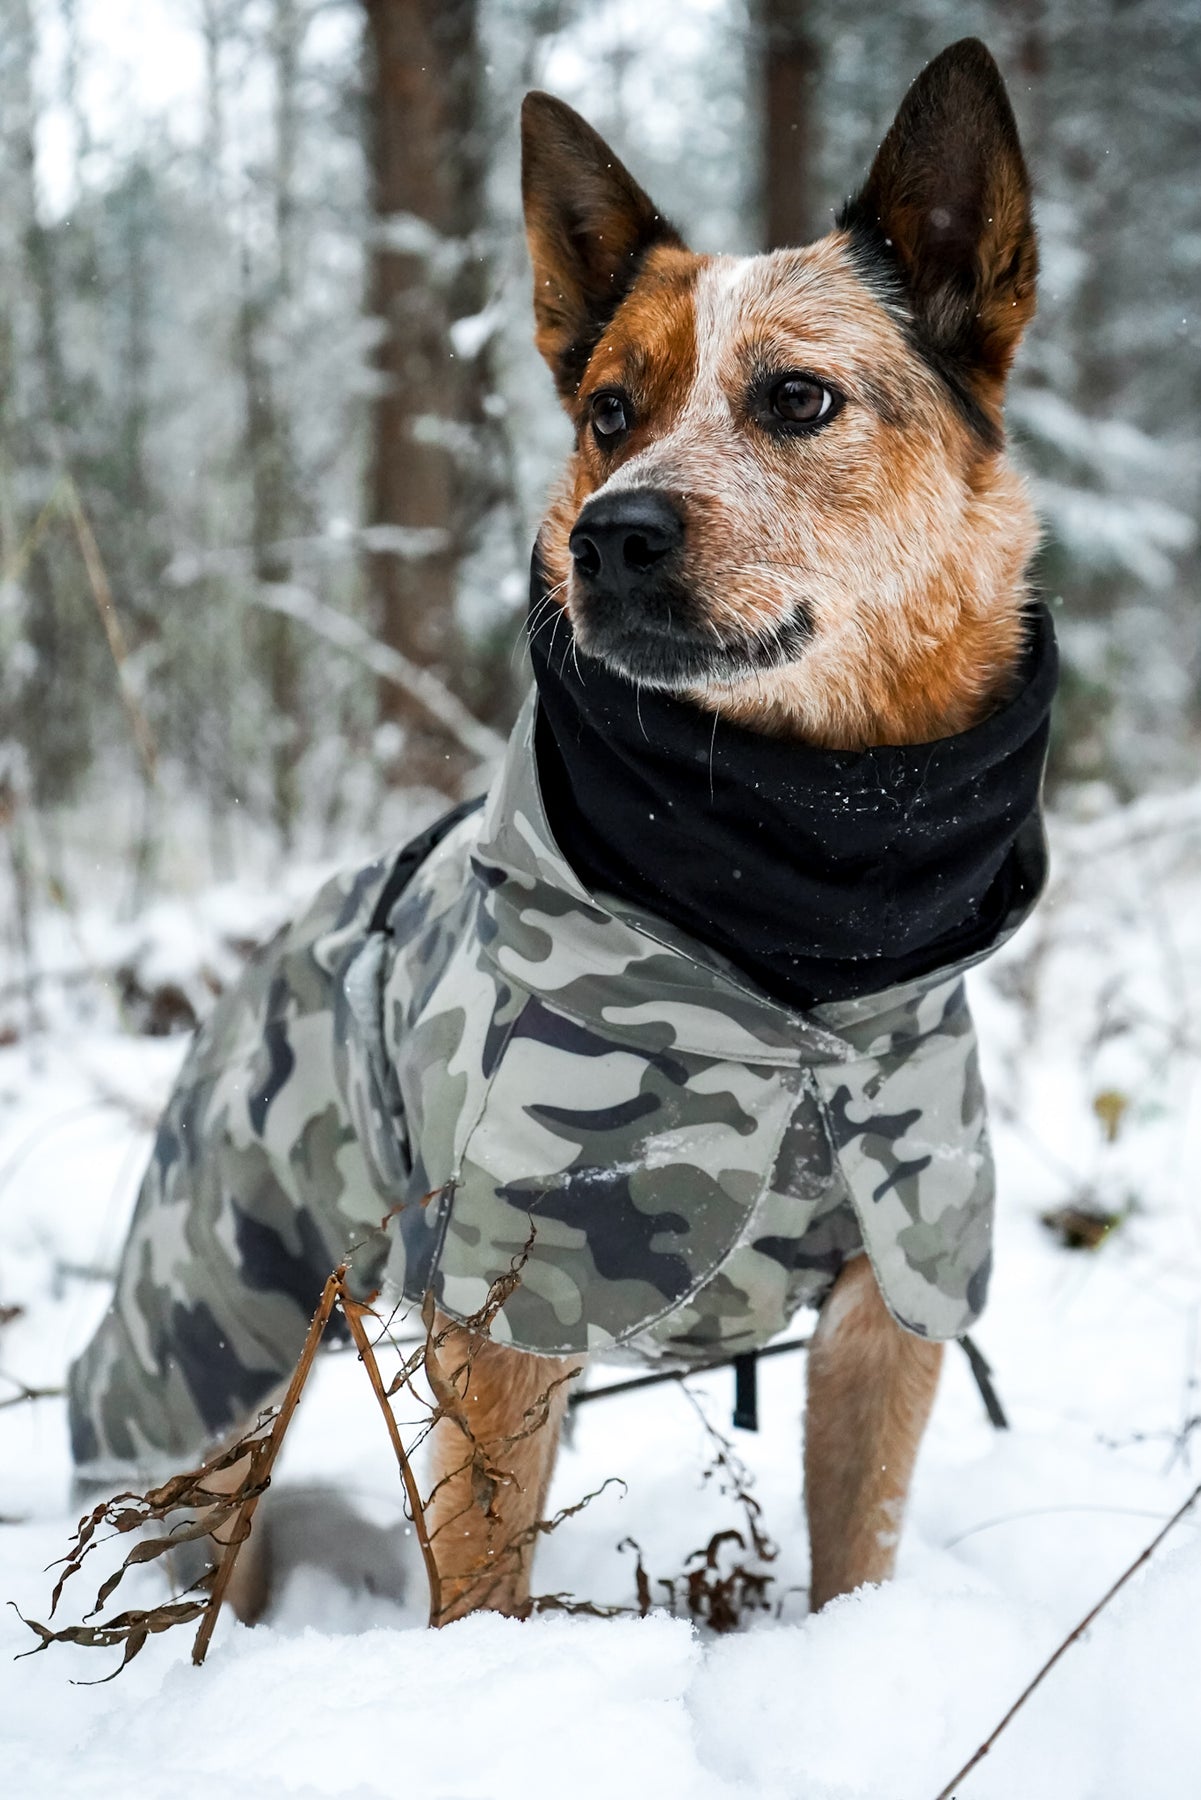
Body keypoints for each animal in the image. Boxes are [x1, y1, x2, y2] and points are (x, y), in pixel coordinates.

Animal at [69, 38, 1055, 1625]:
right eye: (607, 409)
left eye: (797, 399)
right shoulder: (505, 1302)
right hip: (213, 1311)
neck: (805, 926)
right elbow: (479, 1578)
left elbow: (858, 1552)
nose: (613, 534)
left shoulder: (897, 1286)